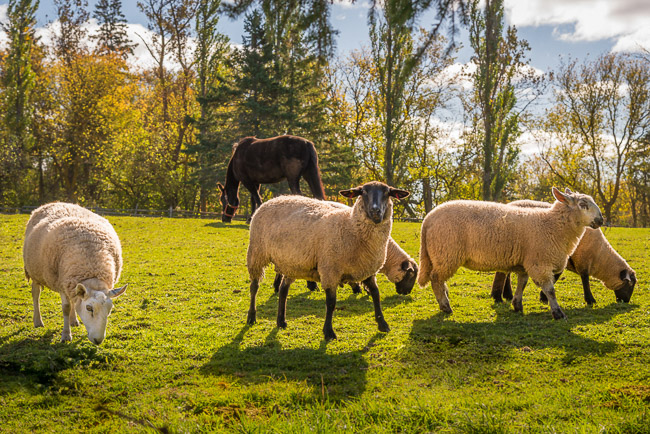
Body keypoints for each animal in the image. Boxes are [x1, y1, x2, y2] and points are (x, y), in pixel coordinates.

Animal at [23, 202, 126, 344]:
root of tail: (56, 202)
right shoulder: (60, 282)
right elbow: (66, 308)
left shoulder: (69, 280)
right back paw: (38, 321)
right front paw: (66, 335)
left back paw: (73, 320)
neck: (92, 272)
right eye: (89, 308)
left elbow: (73, 303)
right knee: (36, 294)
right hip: (35, 272)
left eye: (110, 310)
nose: (98, 340)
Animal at [246, 181, 408, 340]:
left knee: (283, 290)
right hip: (256, 253)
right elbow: (331, 303)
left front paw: (382, 324)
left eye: (387, 193)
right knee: (254, 287)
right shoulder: (330, 270)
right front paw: (328, 331)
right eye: (363, 192)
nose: (375, 211)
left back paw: (281, 321)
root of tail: (274, 199)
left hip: (292, 263)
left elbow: (376, 294)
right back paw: (251, 317)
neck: (350, 225)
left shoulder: (367, 269)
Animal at [416, 186, 604, 318]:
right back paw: (445, 306)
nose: (601, 220)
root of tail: (428, 219)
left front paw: (517, 305)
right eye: (583, 205)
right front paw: (558, 313)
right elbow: (550, 290)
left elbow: (522, 283)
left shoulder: (526, 262)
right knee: (435, 278)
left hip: (440, 256)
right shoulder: (539, 263)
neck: (552, 224)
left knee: (439, 280)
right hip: (447, 253)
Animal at [488, 200, 636, 306]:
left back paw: (507, 295)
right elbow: (583, 279)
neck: (600, 257)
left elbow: (556, 277)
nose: (626, 302)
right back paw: (499, 296)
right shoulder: (580, 259)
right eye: (631, 284)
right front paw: (590, 300)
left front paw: (543, 297)